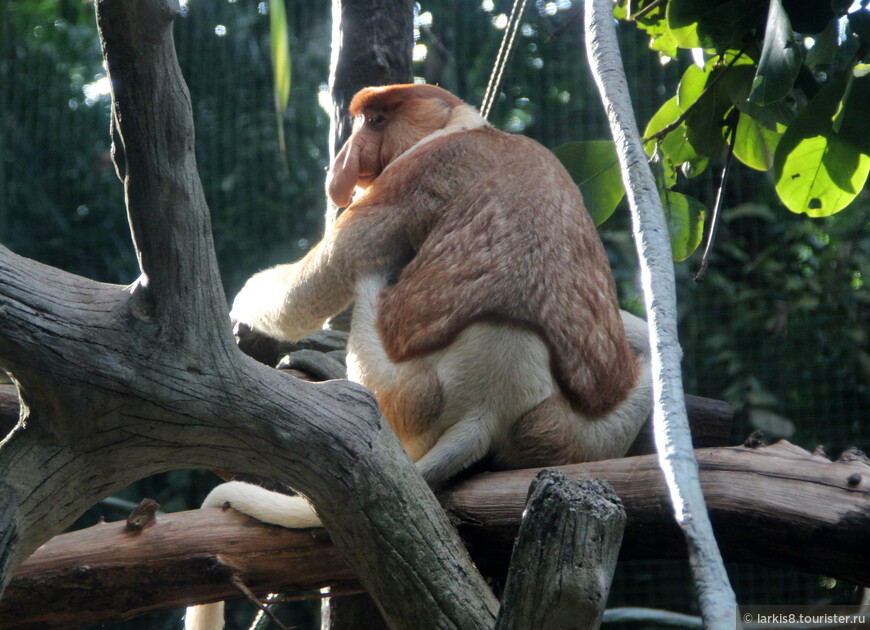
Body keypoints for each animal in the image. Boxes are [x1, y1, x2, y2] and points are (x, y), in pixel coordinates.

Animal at [184, 84, 656, 630]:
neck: (466, 126)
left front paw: (242, 305)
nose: (345, 164)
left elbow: (317, 283)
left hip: (405, 395)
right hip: (580, 433)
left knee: (367, 278)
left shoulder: (406, 178)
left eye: (375, 120)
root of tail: (489, 405)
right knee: (645, 347)